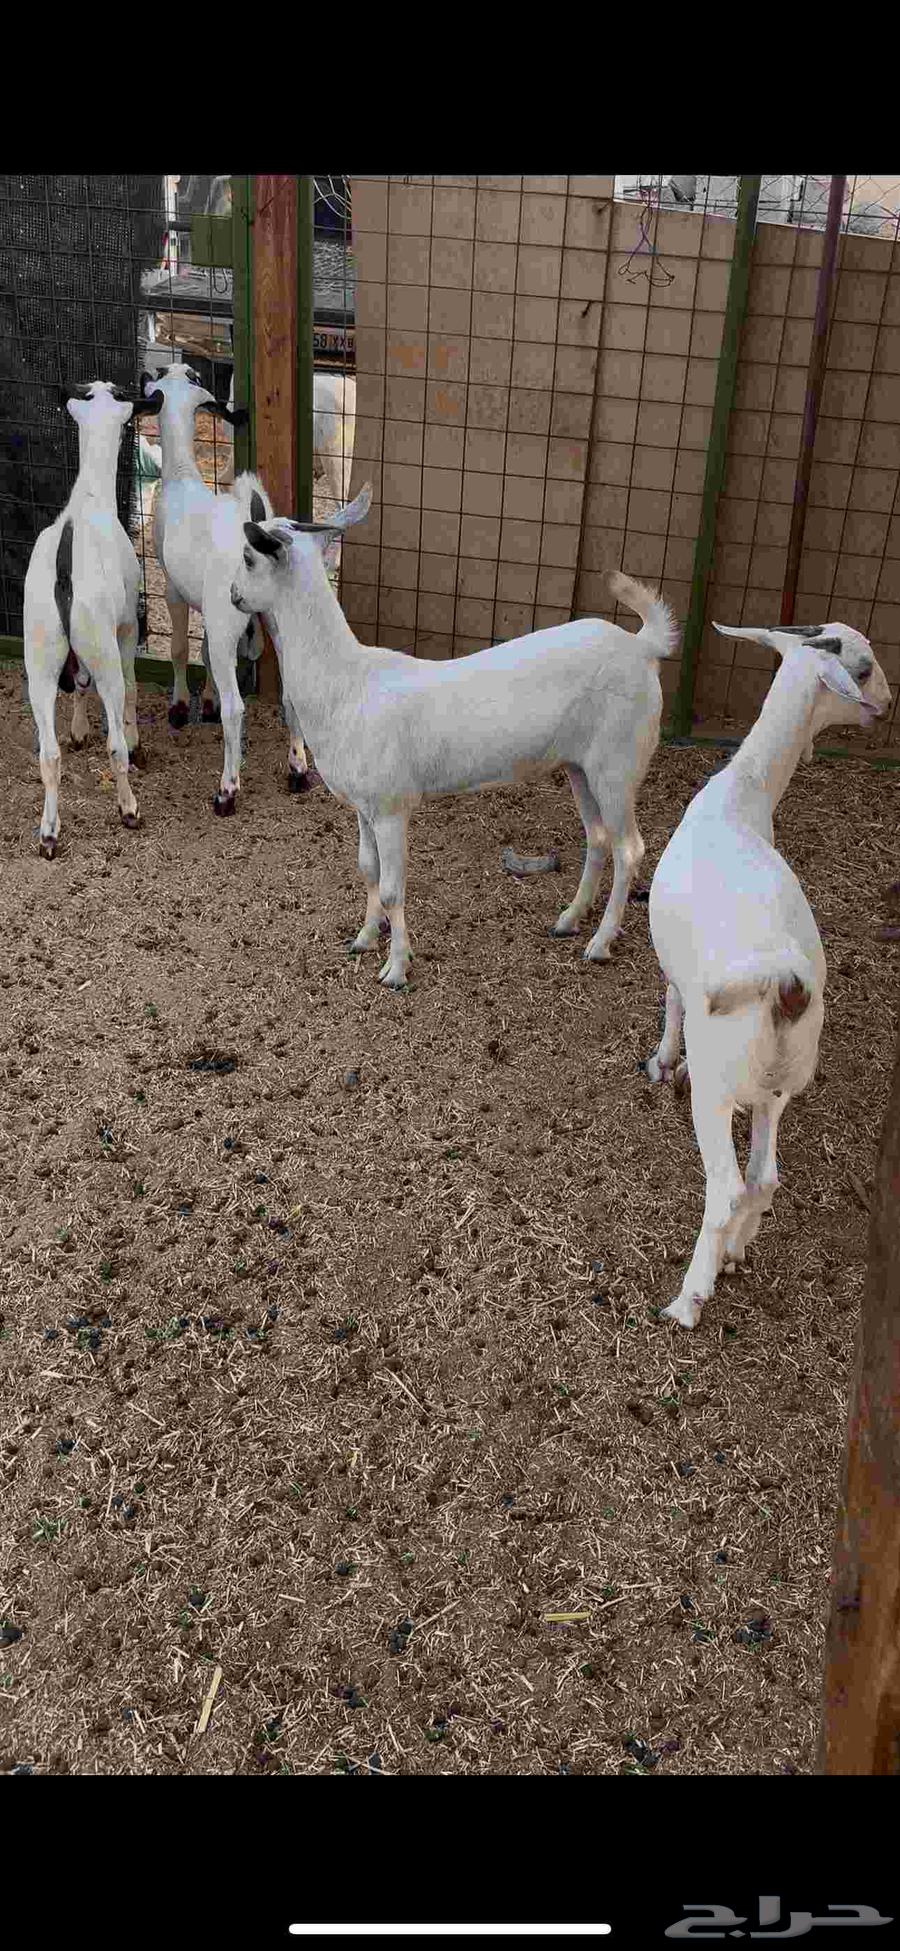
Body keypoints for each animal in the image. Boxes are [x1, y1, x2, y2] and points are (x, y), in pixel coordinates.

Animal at [23, 379, 159, 858]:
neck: (89, 497)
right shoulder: (126, 627)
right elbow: (134, 689)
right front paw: (137, 742)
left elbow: (78, 683)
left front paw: (79, 731)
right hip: (103, 650)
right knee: (114, 745)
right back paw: (129, 809)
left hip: (40, 658)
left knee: (48, 754)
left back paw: (49, 832)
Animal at [142, 364, 311, 810]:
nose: (148, 375)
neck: (182, 474)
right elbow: (201, 652)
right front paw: (206, 700)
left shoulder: (174, 590)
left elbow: (181, 648)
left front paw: (182, 707)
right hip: (276, 624)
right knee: (292, 693)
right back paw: (298, 770)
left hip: (225, 621)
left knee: (237, 709)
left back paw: (227, 790)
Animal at [229, 483, 679, 989]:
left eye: (247, 556)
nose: (233, 595)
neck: (347, 682)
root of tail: (643, 648)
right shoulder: (363, 806)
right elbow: (367, 870)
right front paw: (364, 938)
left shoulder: (392, 806)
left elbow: (392, 888)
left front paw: (397, 968)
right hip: (580, 766)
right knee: (598, 838)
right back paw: (568, 920)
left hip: (618, 764)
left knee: (629, 848)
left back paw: (599, 943)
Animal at [643, 619, 892, 1330]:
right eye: (863, 668)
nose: (888, 707)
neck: (743, 792)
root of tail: (787, 982)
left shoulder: (676, 973)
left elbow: (670, 1004)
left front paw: (661, 1062)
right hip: (781, 1078)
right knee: (765, 1177)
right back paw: (735, 1252)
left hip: (720, 1083)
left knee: (726, 1186)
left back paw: (689, 1297)